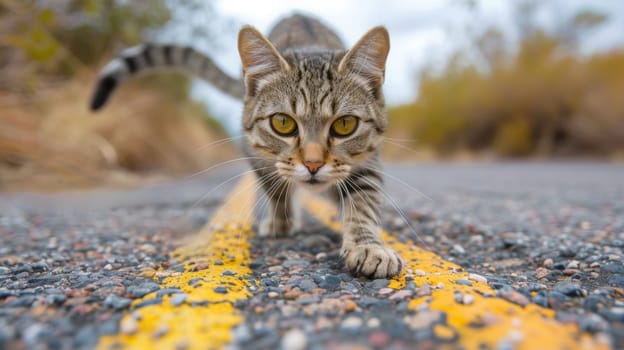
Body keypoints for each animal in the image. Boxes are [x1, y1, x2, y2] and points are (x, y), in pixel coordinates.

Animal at [91, 14, 404, 278]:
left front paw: (368, 246)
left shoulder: (368, 163)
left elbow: (362, 206)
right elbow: (276, 190)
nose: (313, 164)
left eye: (345, 125)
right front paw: (281, 222)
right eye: (282, 123)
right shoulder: (254, 153)